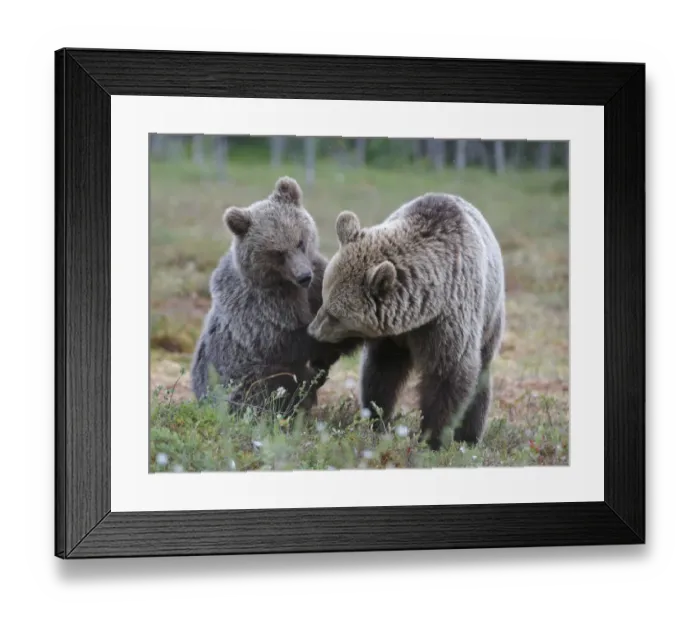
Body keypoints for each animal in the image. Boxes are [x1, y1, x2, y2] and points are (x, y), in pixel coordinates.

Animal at [190, 176, 362, 417]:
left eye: (300, 241)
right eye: (277, 252)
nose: (303, 276)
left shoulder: (317, 278)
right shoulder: (262, 308)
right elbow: (289, 339)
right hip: (239, 379)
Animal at [307, 192, 506, 451]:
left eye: (335, 315)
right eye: (323, 298)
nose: (312, 332)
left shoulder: (448, 319)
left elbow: (448, 374)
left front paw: (432, 437)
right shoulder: (391, 336)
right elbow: (381, 373)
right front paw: (377, 419)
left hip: (490, 317)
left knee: (481, 375)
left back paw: (470, 436)